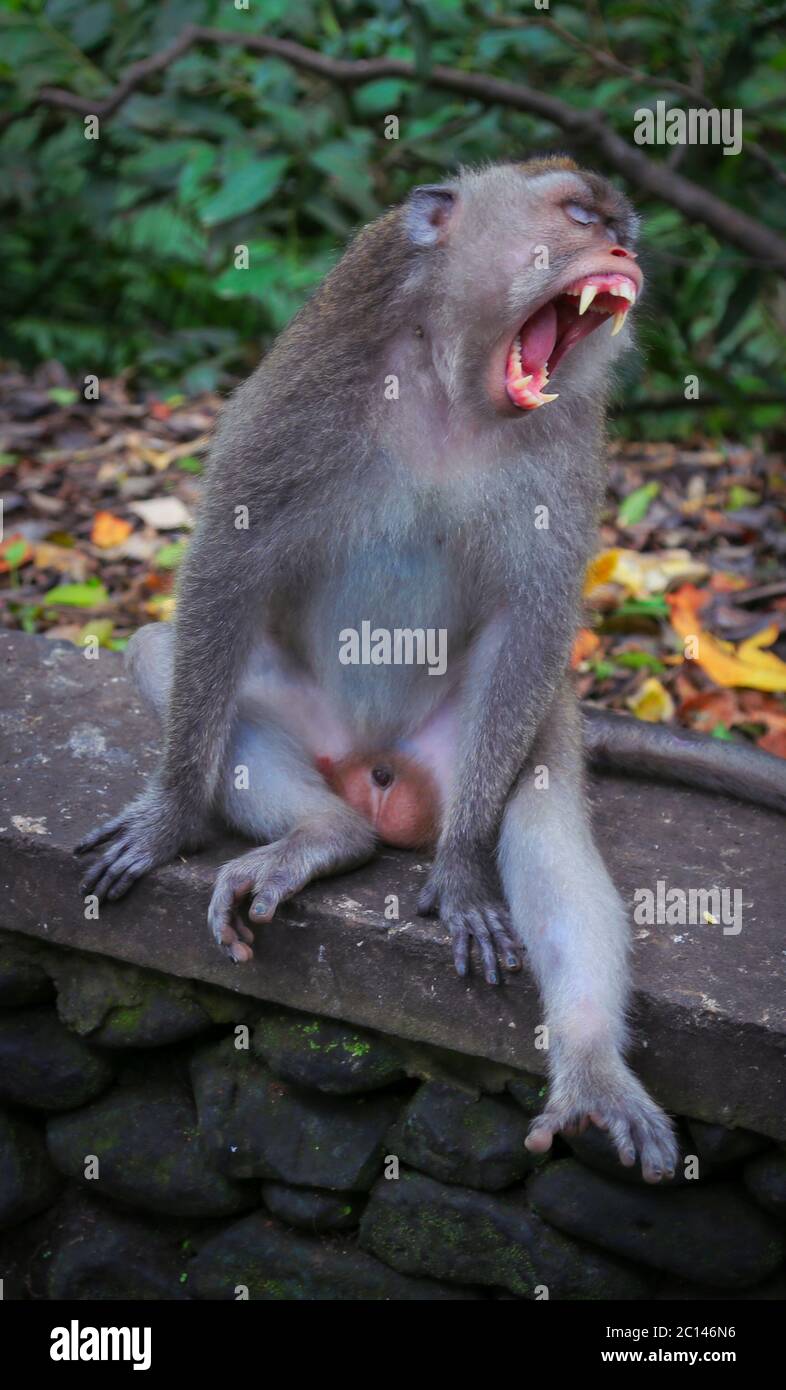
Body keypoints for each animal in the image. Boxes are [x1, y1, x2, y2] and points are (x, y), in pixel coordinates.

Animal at [77, 157, 786, 1183]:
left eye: (622, 228)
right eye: (581, 215)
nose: (622, 250)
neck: (455, 385)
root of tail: (379, 776)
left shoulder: (569, 450)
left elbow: (533, 623)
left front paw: (460, 875)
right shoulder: (304, 388)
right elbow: (227, 564)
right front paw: (170, 818)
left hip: (488, 749)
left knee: (543, 824)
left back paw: (587, 1063)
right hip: (317, 731)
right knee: (163, 655)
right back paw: (323, 836)